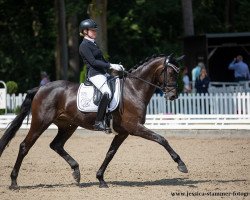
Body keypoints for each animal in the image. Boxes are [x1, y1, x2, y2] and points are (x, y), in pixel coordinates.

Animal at [0, 54, 188, 188]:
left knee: (56, 145)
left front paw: (101, 179)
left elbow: (110, 153)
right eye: (171, 73)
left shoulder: (123, 132)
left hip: (68, 126)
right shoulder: (134, 127)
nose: (173, 96)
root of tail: (40, 88)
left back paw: (76, 172)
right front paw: (181, 165)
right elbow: (161, 139)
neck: (134, 89)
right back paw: (14, 182)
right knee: (25, 146)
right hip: (41, 122)